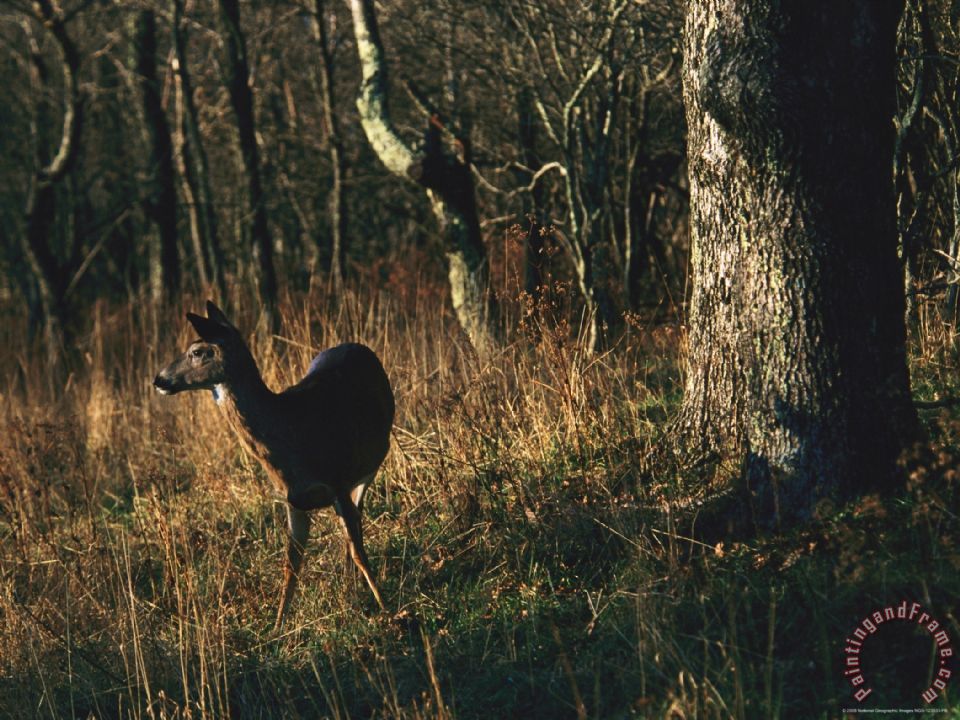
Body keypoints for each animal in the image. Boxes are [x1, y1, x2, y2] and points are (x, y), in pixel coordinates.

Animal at [153, 301, 394, 627]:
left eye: (198, 351)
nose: (159, 379)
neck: (290, 433)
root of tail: (355, 346)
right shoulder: (293, 499)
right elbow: (290, 565)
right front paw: (278, 626)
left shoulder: (338, 480)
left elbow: (356, 549)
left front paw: (385, 606)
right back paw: (348, 586)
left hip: (371, 463)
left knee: (357, 518)